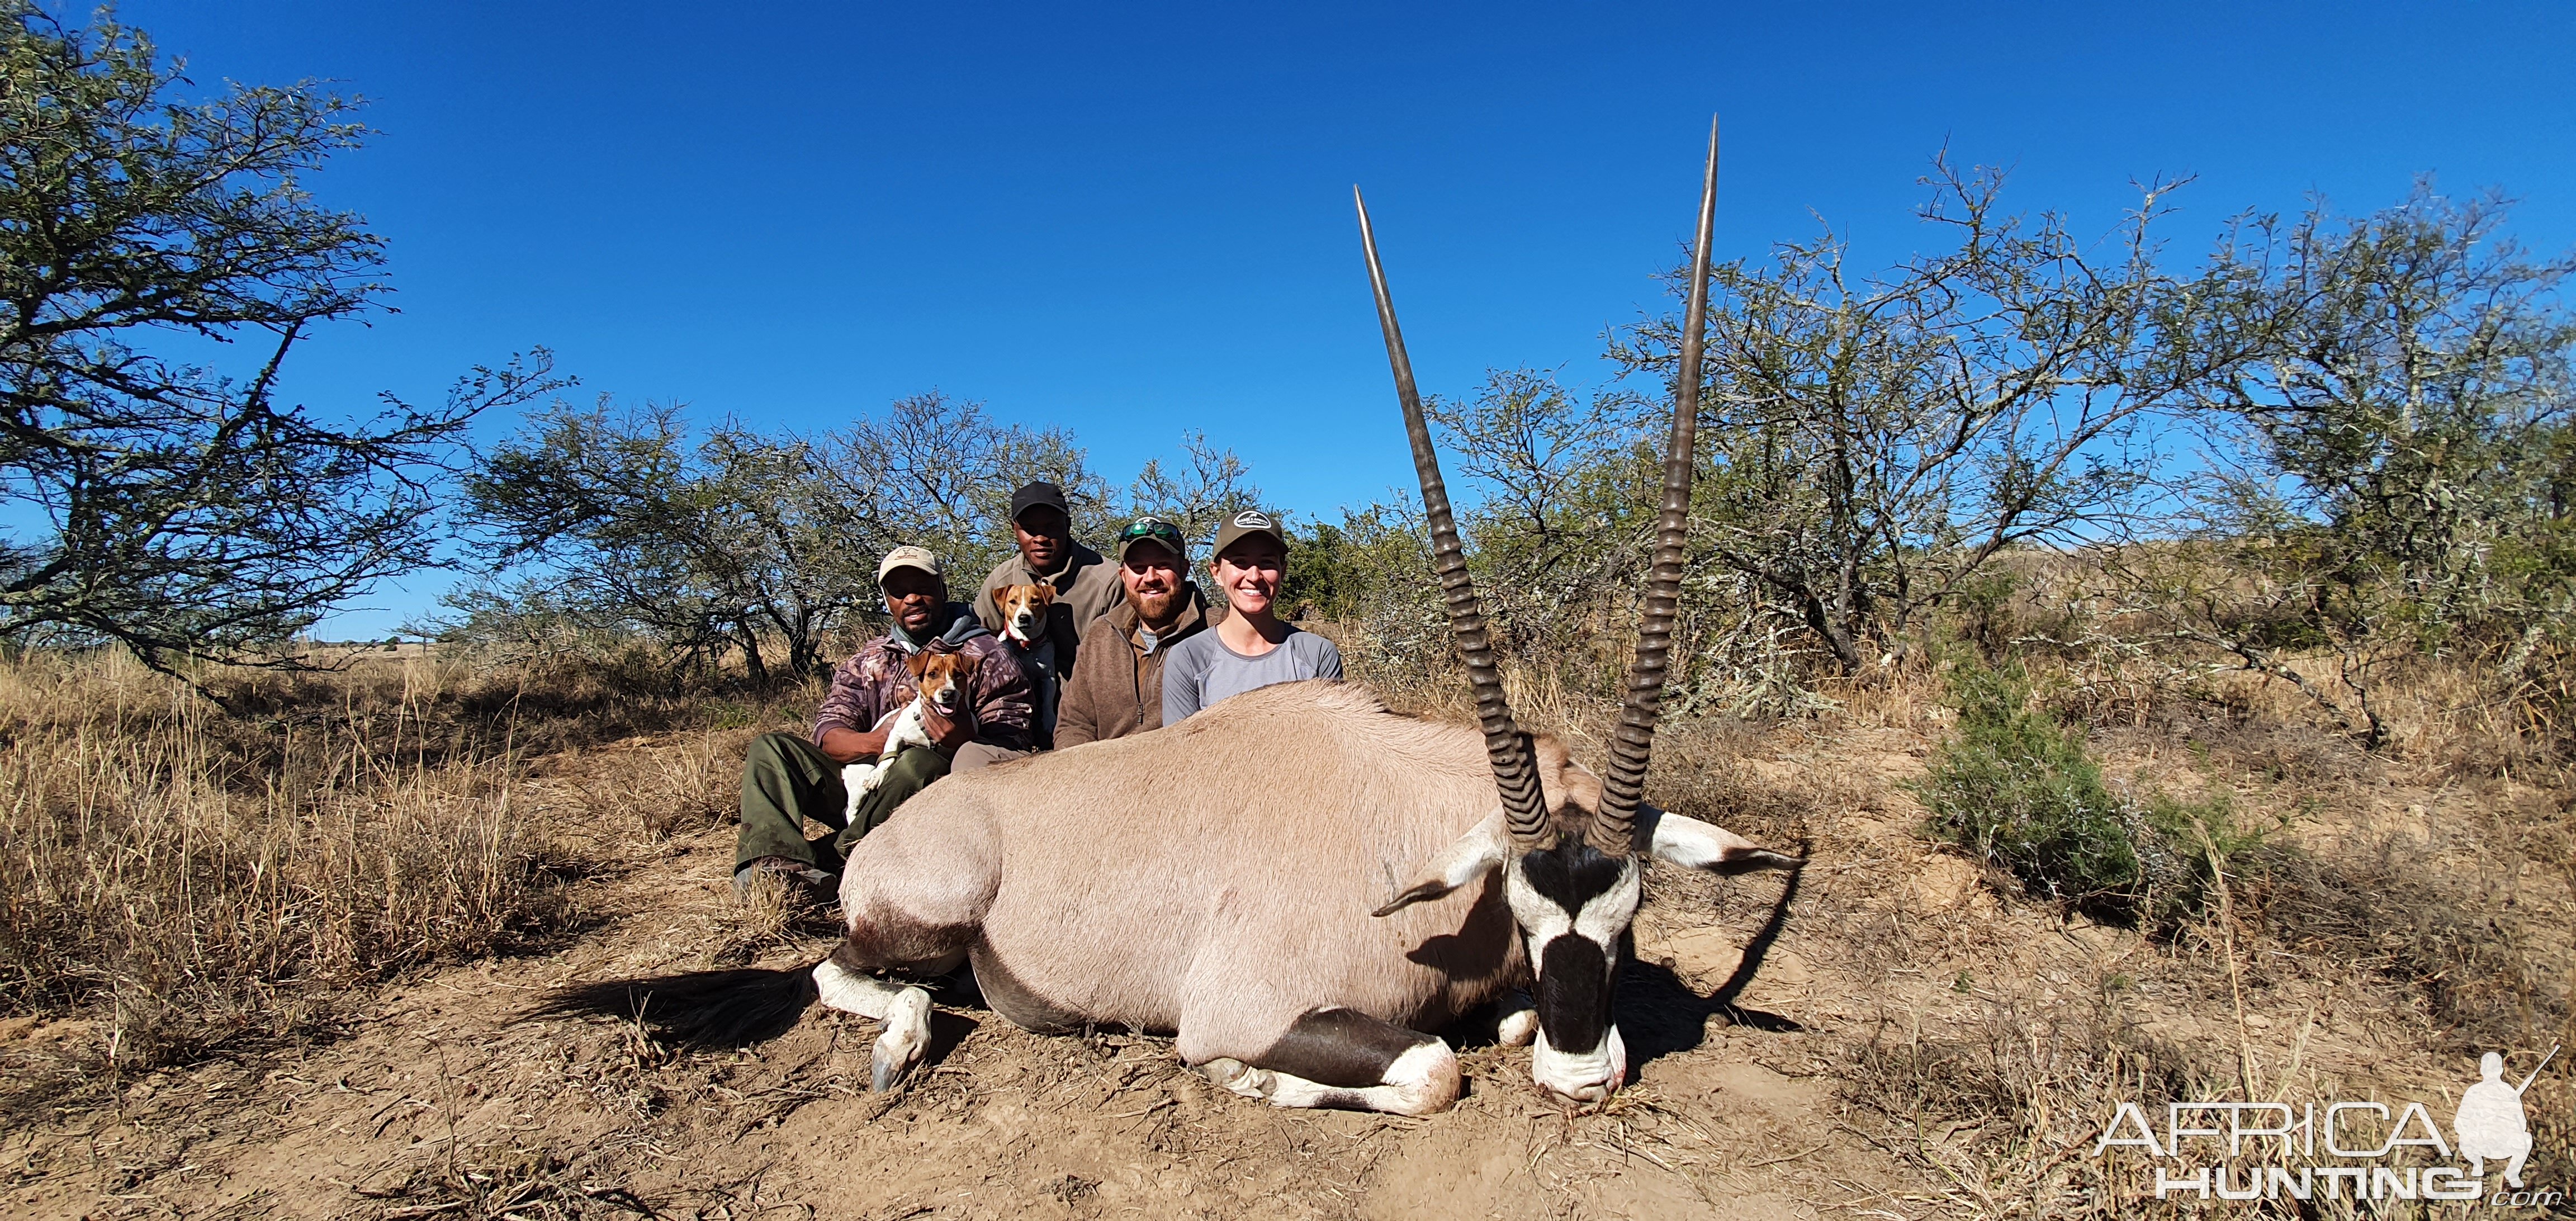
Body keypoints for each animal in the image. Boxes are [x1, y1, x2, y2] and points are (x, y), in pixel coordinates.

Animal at [845, 649, 973, 819]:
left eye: (958, 674)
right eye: (932, 674)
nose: (948, 694)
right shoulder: (895, 735)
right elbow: (888, 758)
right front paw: (877, 776)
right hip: (860, 781)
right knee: (851, 810)